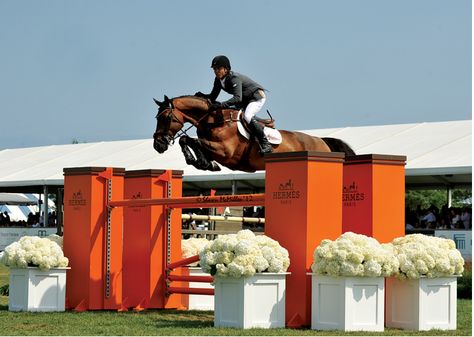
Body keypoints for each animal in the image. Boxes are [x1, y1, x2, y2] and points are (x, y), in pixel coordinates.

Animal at [153, 95, 356, 172]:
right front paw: (204, 163)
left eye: (165, 117)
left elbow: (192, 140)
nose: (158, 145)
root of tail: (322, 141)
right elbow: (188, 140)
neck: (212, 119)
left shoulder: (225, 152)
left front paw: (202, 162)